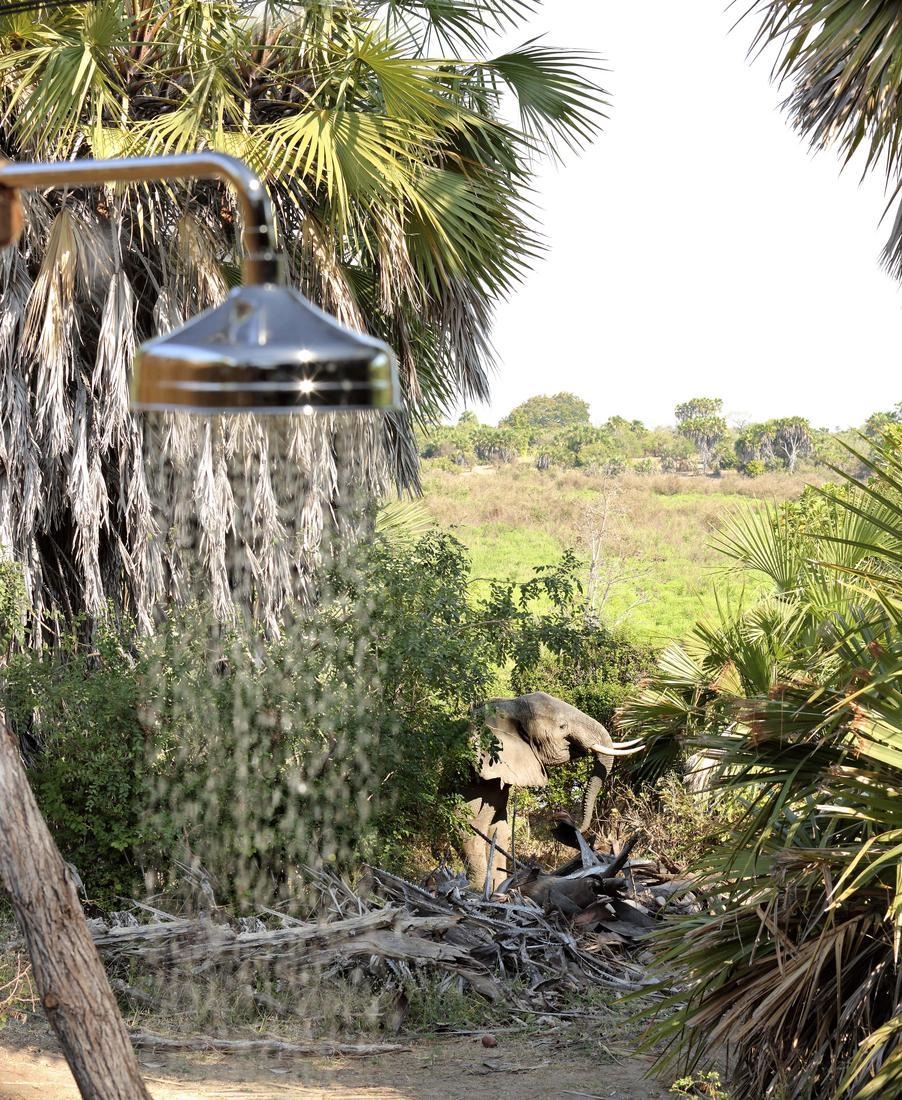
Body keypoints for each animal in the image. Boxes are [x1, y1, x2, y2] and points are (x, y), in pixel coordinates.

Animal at [459, 691, 642, 890]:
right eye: (562, 727)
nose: (562, 820)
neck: (509, 706)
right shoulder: (473, 784)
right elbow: (470, 833)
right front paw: (480, 892)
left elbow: (500, 832)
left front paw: (499, 889)